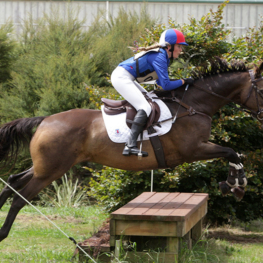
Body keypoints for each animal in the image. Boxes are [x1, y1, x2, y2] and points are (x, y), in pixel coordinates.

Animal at [0, 58, 262, 243]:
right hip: (51, 170)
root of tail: (44, 120)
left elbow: (234, 153)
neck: (194, 105)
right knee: (19, 198)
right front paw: (236, 184)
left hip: (46, 165)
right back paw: (3, 234)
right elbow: (231, 152)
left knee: (13, 180)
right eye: (261, 90)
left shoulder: (198, 149)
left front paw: (233, 184)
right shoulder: (194, 150)